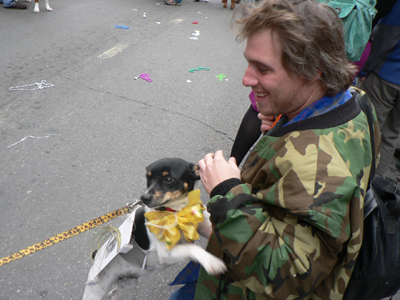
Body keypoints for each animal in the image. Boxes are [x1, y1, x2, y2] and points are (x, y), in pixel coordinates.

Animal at [82, 158, 225, 298]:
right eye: (148, 177)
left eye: (168, 179)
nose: (144, 197)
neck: (177, 212)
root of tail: (96, 256)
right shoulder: (166, 253)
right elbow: (191, 248)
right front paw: (211, 261)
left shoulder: (206, 227)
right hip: (96, 290)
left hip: (128, 283)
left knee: (115, 294)